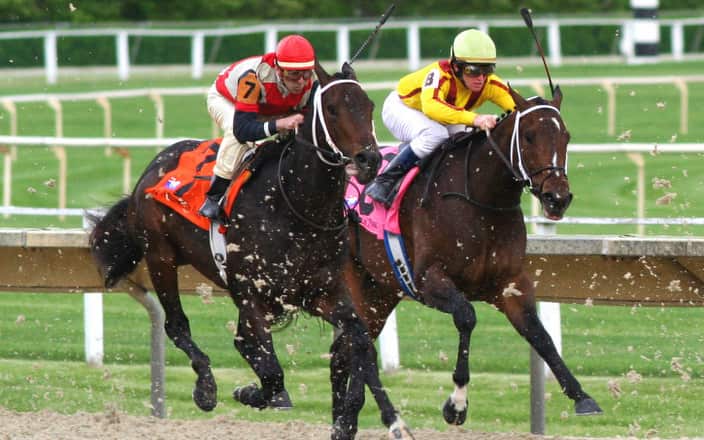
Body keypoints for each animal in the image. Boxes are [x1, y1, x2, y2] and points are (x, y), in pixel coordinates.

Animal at [89, 61, 411, 440]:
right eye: (332, 109)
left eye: (369, 106)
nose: (369, 159)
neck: (295, 205)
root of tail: (152, 170)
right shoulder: (252, 292)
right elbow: (271, 372)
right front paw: (248, 392)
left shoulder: (320, 291)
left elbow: (357, 339)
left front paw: (371, 419)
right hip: (161, 257)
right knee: (177, 325)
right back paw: (206, 387)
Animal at [342, 86, 603, 427]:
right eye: (529, 136)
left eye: (566, 136)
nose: (557, 197)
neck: (481, 199)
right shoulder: (428, 280)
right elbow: (467, 317)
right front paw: (456, 404)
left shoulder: (509, 284)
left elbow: (539, 334)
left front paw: (581, 396)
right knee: (355, 342)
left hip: (380, 290)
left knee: (356, 345)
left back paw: (349, 413)